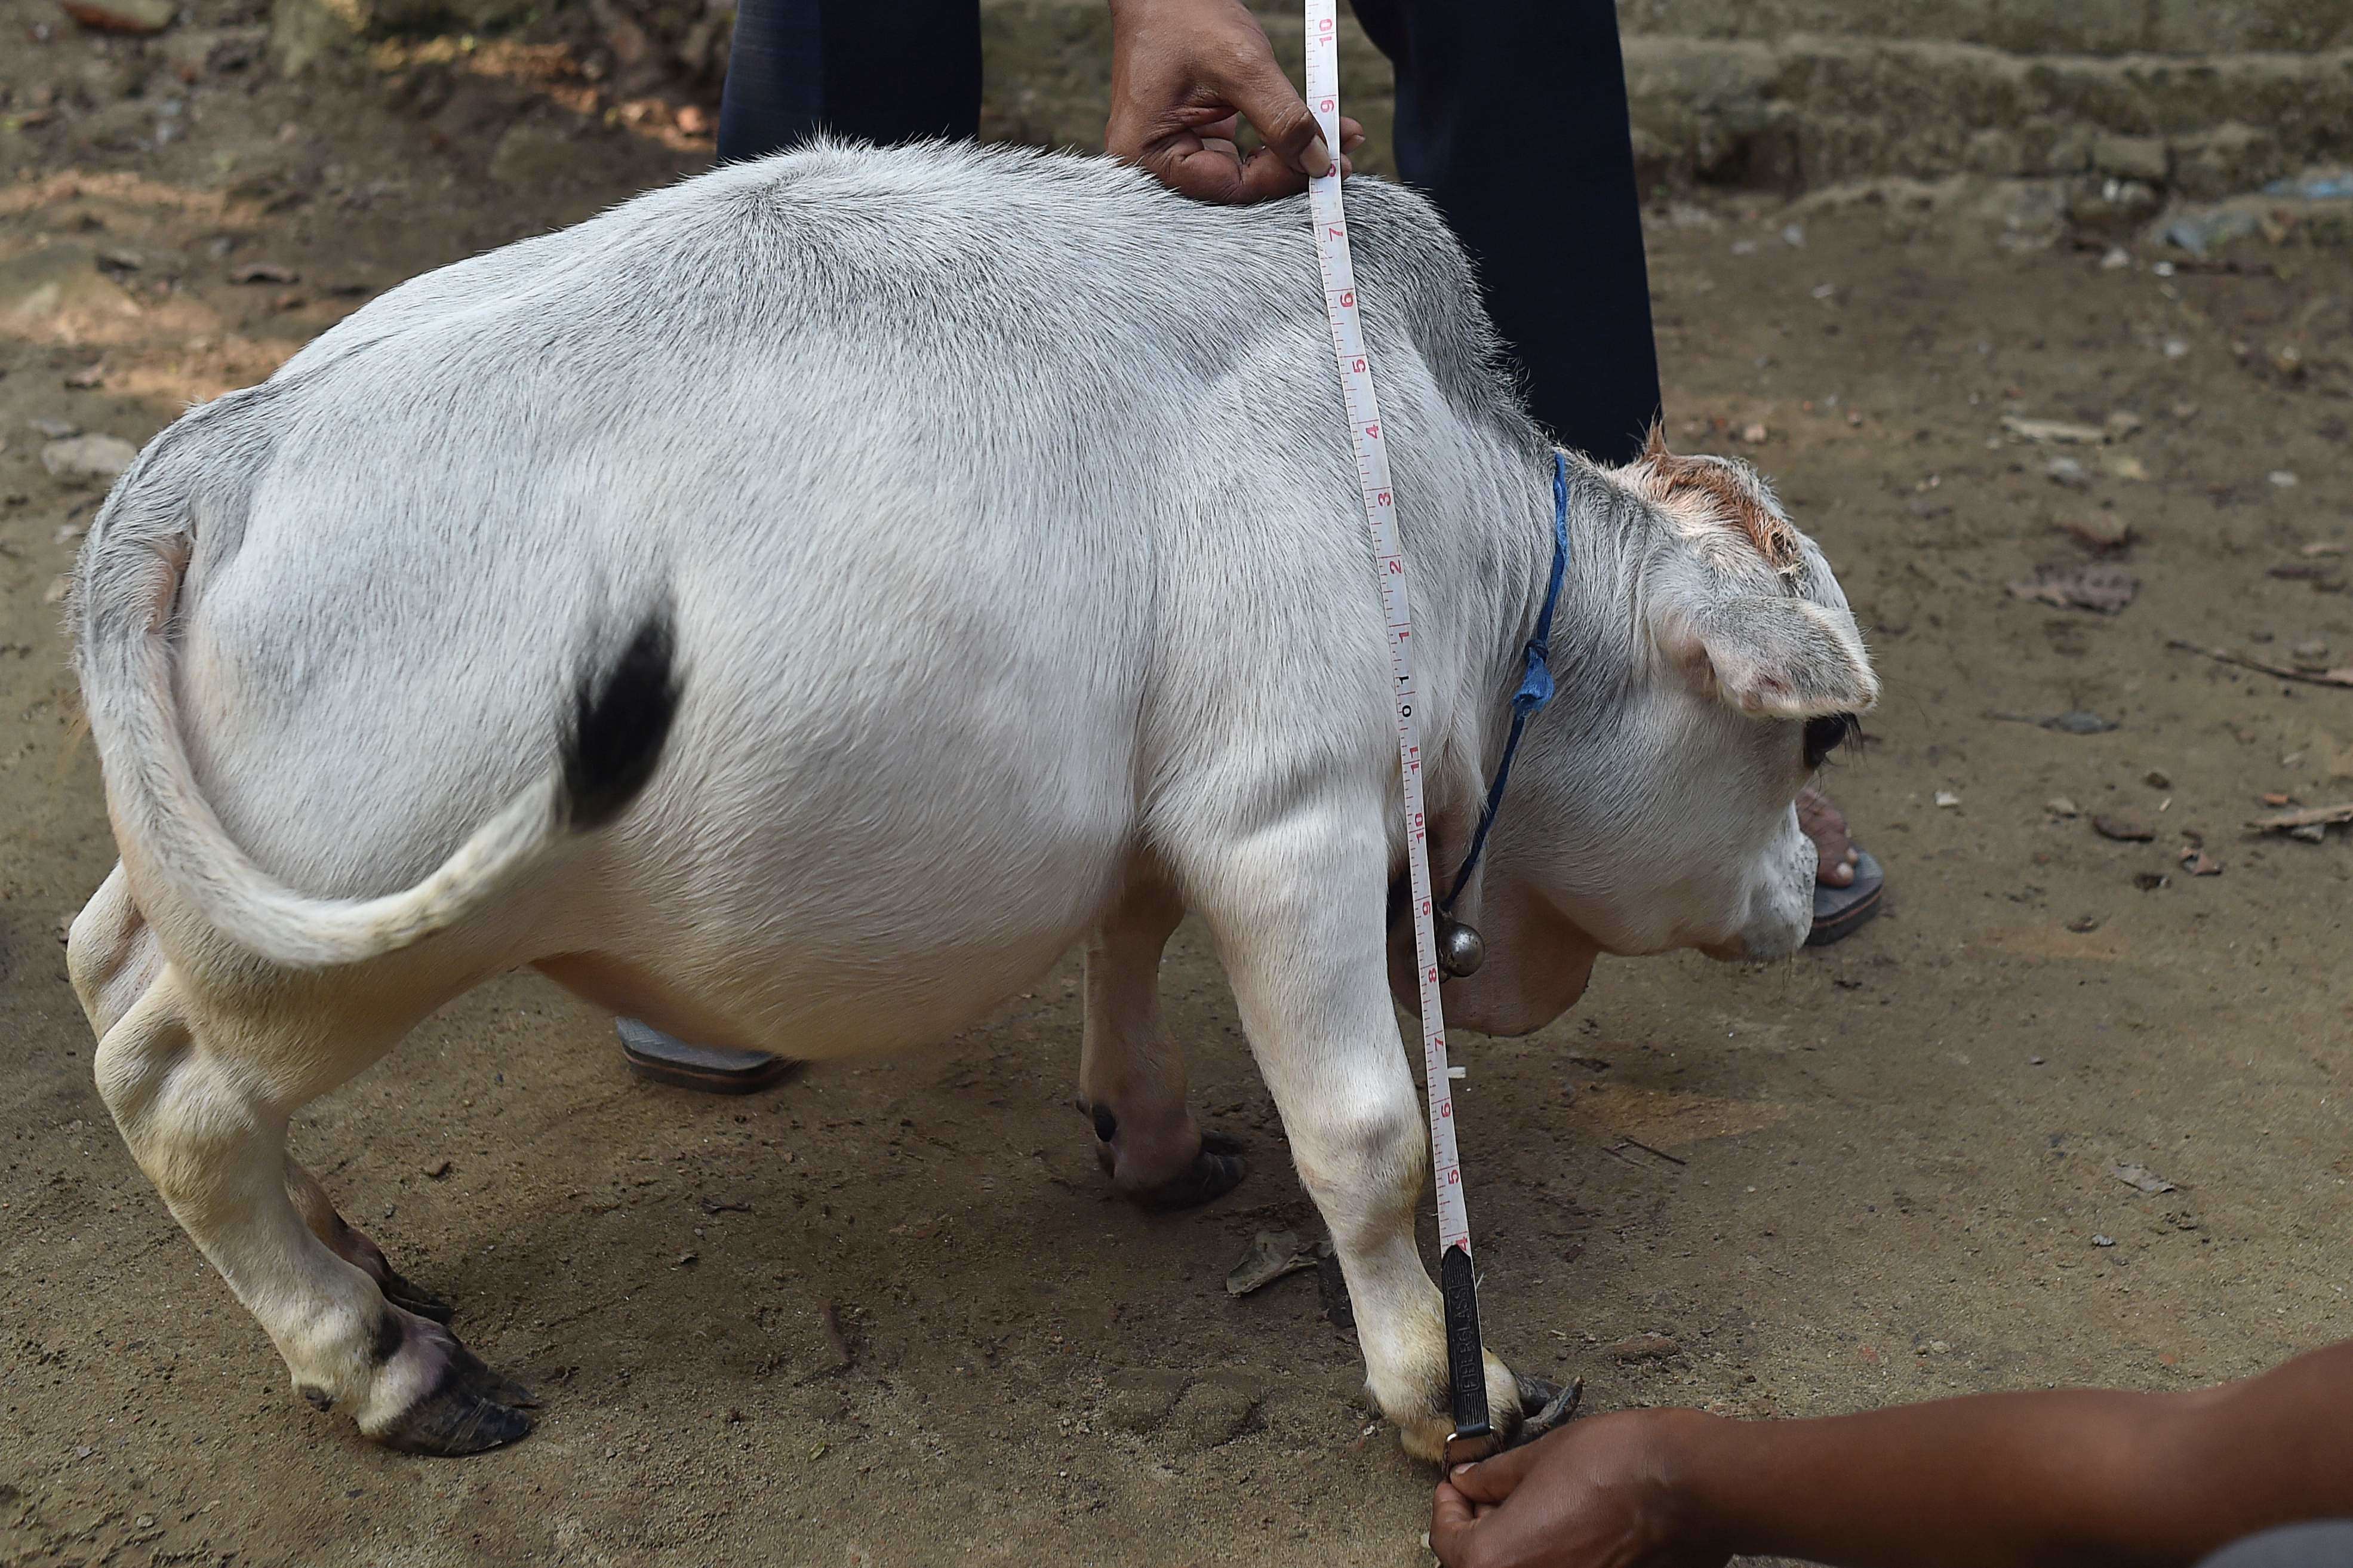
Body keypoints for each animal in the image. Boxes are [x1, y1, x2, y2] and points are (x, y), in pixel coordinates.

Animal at [69, 140, 1873, 1459]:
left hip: (206, 884)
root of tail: (216, 454)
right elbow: (1366, 1136)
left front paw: (1148, 1137)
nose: (1813, 889)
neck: (1427, 497)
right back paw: (379, 1359)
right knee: (171, 1090)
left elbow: (1128, 948)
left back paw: (342, 1239)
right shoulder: (1284, 814)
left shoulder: (1160, 818)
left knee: (109, 967)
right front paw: (1448, 1384)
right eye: (1813, 745)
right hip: (347, 941)